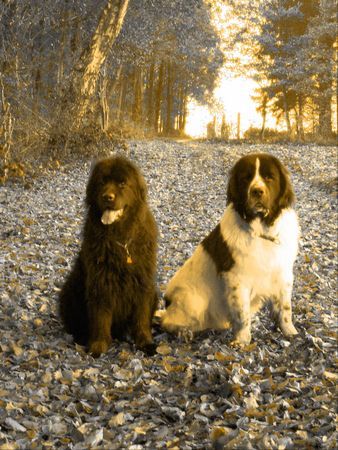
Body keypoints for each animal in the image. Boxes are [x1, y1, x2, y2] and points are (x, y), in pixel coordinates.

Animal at [162, 153, 300, 346]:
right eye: (246, 178)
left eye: (269, 177)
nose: (257, 191)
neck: (261, 231)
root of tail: (167, 302)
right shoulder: (237, 279)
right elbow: (242, 314)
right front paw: (242, 341)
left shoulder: (283, 274)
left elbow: (285, 309)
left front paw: (290, 332)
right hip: (193, 299)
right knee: (166, 321)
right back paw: (184, 332)